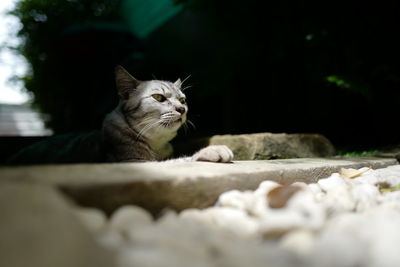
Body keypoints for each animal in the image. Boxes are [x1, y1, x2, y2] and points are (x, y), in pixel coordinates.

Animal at [102, 66, 234, 163]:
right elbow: (178, 161)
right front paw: (209, 151)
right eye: (158, 97)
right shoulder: (134, 161)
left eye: (182, 100)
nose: (182, 109)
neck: (156, 145)